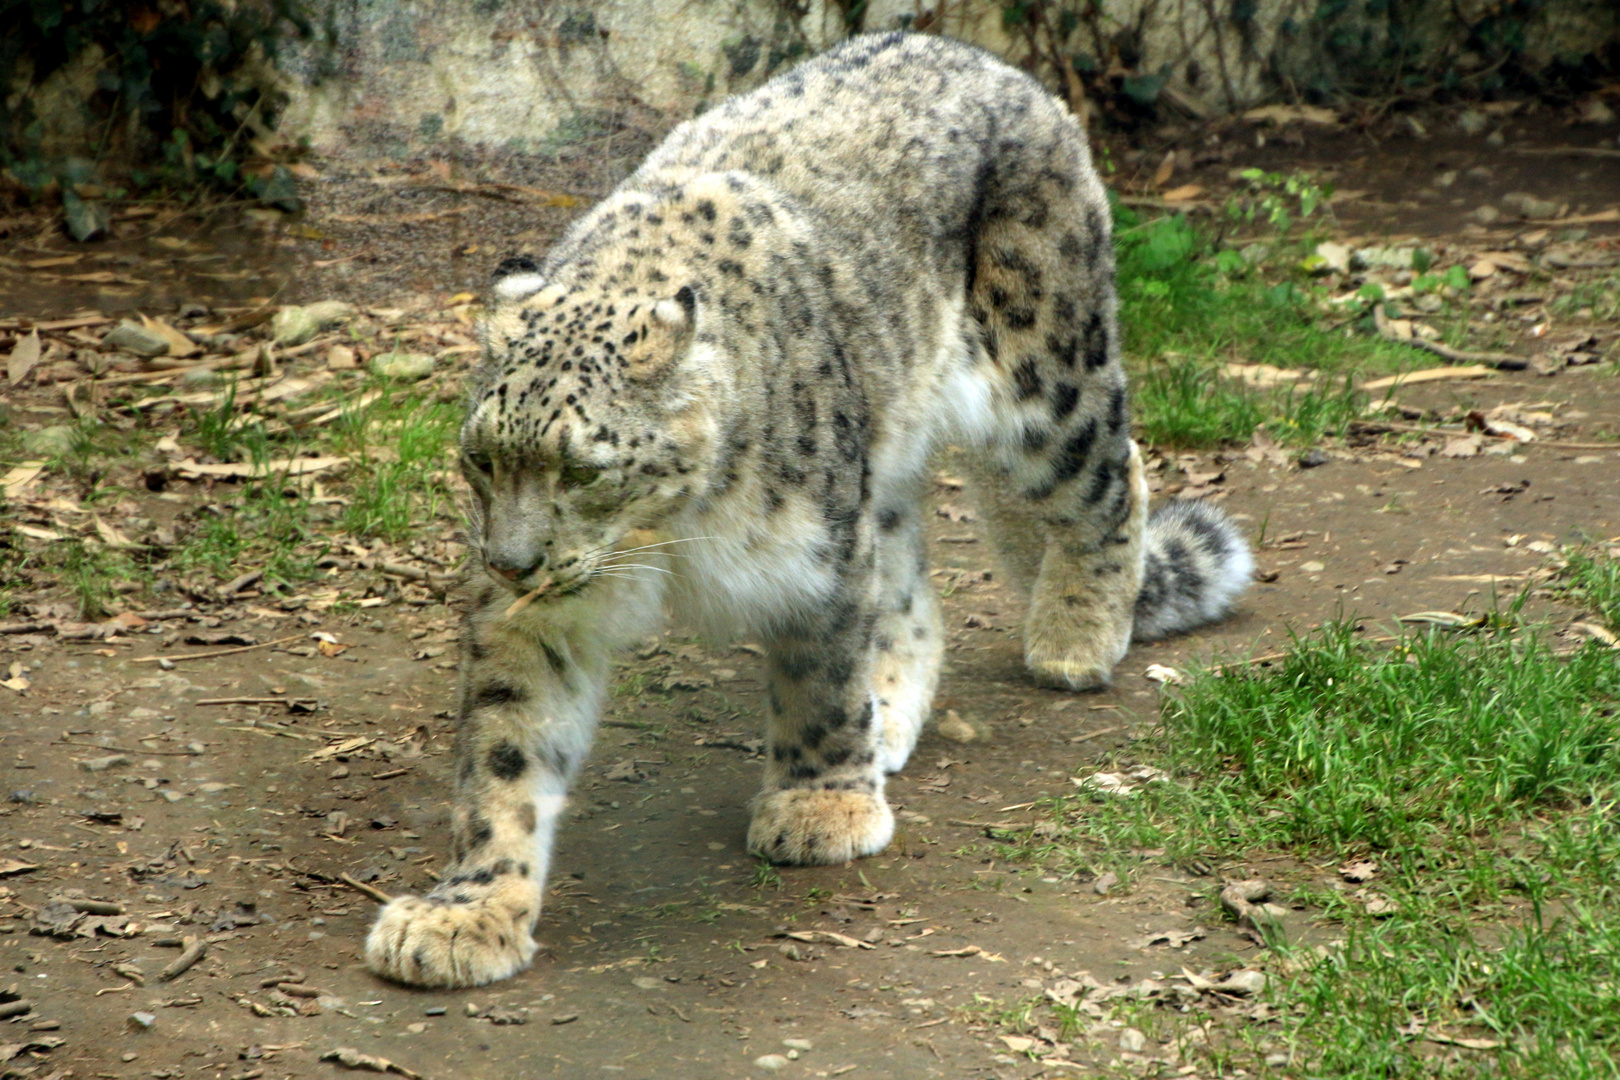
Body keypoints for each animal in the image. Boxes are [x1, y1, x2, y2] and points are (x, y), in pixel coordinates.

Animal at [370, 27, 1250, 990]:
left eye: (580, 470)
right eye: (482, 458)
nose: (512, 562)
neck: (663, 536)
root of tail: (989, 62)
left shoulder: (815, 559)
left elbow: (818, 678)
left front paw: (820, 806)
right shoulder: (539, 618)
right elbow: (506, 750)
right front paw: (467, 911)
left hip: (1048, 377)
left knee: (1112, 474)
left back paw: (1076, 638)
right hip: (887, 467)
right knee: (912, 593)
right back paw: (890, 718)